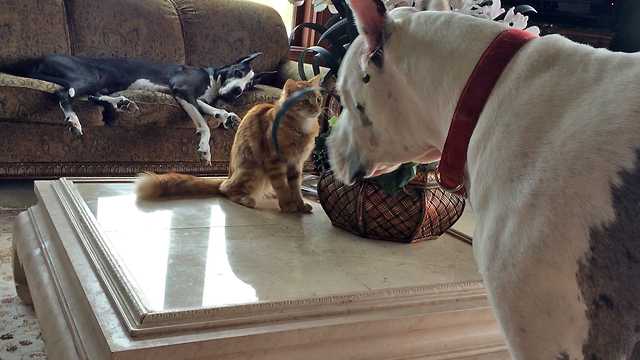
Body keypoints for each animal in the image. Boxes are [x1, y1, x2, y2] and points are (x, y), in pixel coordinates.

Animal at [8, 52, 262, 164]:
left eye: (249, 85)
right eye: (238, 72)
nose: (237, 91)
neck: (212, 77)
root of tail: (40, 60)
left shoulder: (187, 96)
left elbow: (211, 110)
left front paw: (228, 116)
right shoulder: (182, 91)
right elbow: (204, 125)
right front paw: (204, 150)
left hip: (96, 82)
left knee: (93, 97)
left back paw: (121, 103)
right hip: (85, 77)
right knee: (62, 93)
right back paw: (73, 121)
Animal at [137, 74, 322, 212]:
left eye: (319, 99)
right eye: (305, 101)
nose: (317, 109)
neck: (301, 128)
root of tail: (228, 176)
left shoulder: (296, 165)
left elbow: (296, 189)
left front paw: (300, 205)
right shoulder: (275, 162)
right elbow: (283, 187)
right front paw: (288, 206)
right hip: (253, 171)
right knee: (225, 189)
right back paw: (247, 200)